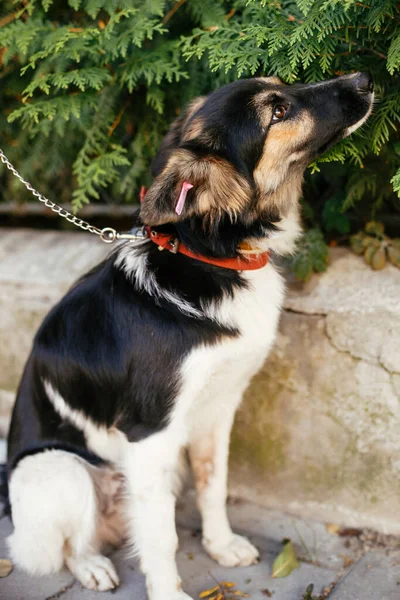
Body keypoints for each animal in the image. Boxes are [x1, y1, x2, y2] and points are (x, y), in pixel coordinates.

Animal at [6, 72, 374, 596]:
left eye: (284, 85)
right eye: (277, 111)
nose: (363, 78)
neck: (211, 259)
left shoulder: (217, 409)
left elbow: (213, 486)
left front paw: (221, 546)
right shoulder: (150, 433)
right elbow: (162, 540)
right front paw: (168, 590)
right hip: (60, 471)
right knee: (72, 545)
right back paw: (93, 566)